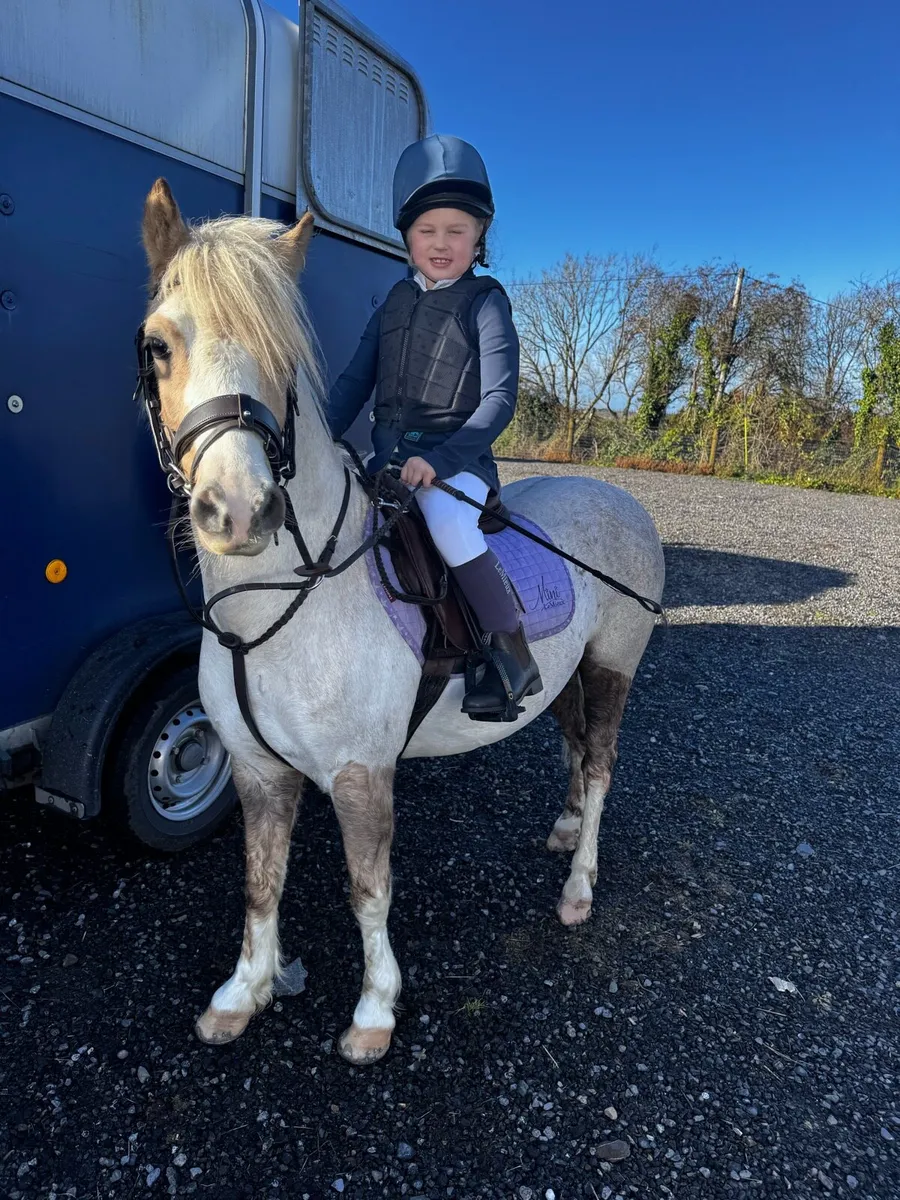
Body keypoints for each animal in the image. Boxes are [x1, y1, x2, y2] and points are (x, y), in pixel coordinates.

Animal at [137, 179, 665, 1064]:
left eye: (285, 358)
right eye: (158, 347)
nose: (237, 512)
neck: (279, 606)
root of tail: (619, 497)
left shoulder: (360, 774)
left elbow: (368, 889)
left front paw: (374, 1012)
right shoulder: (256, 770)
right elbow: (260, 882)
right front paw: (243, 995)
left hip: (612, 666)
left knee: (599, 768)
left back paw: (578, 886)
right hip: (565, 673)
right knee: (571, 743)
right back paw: (562, 833)